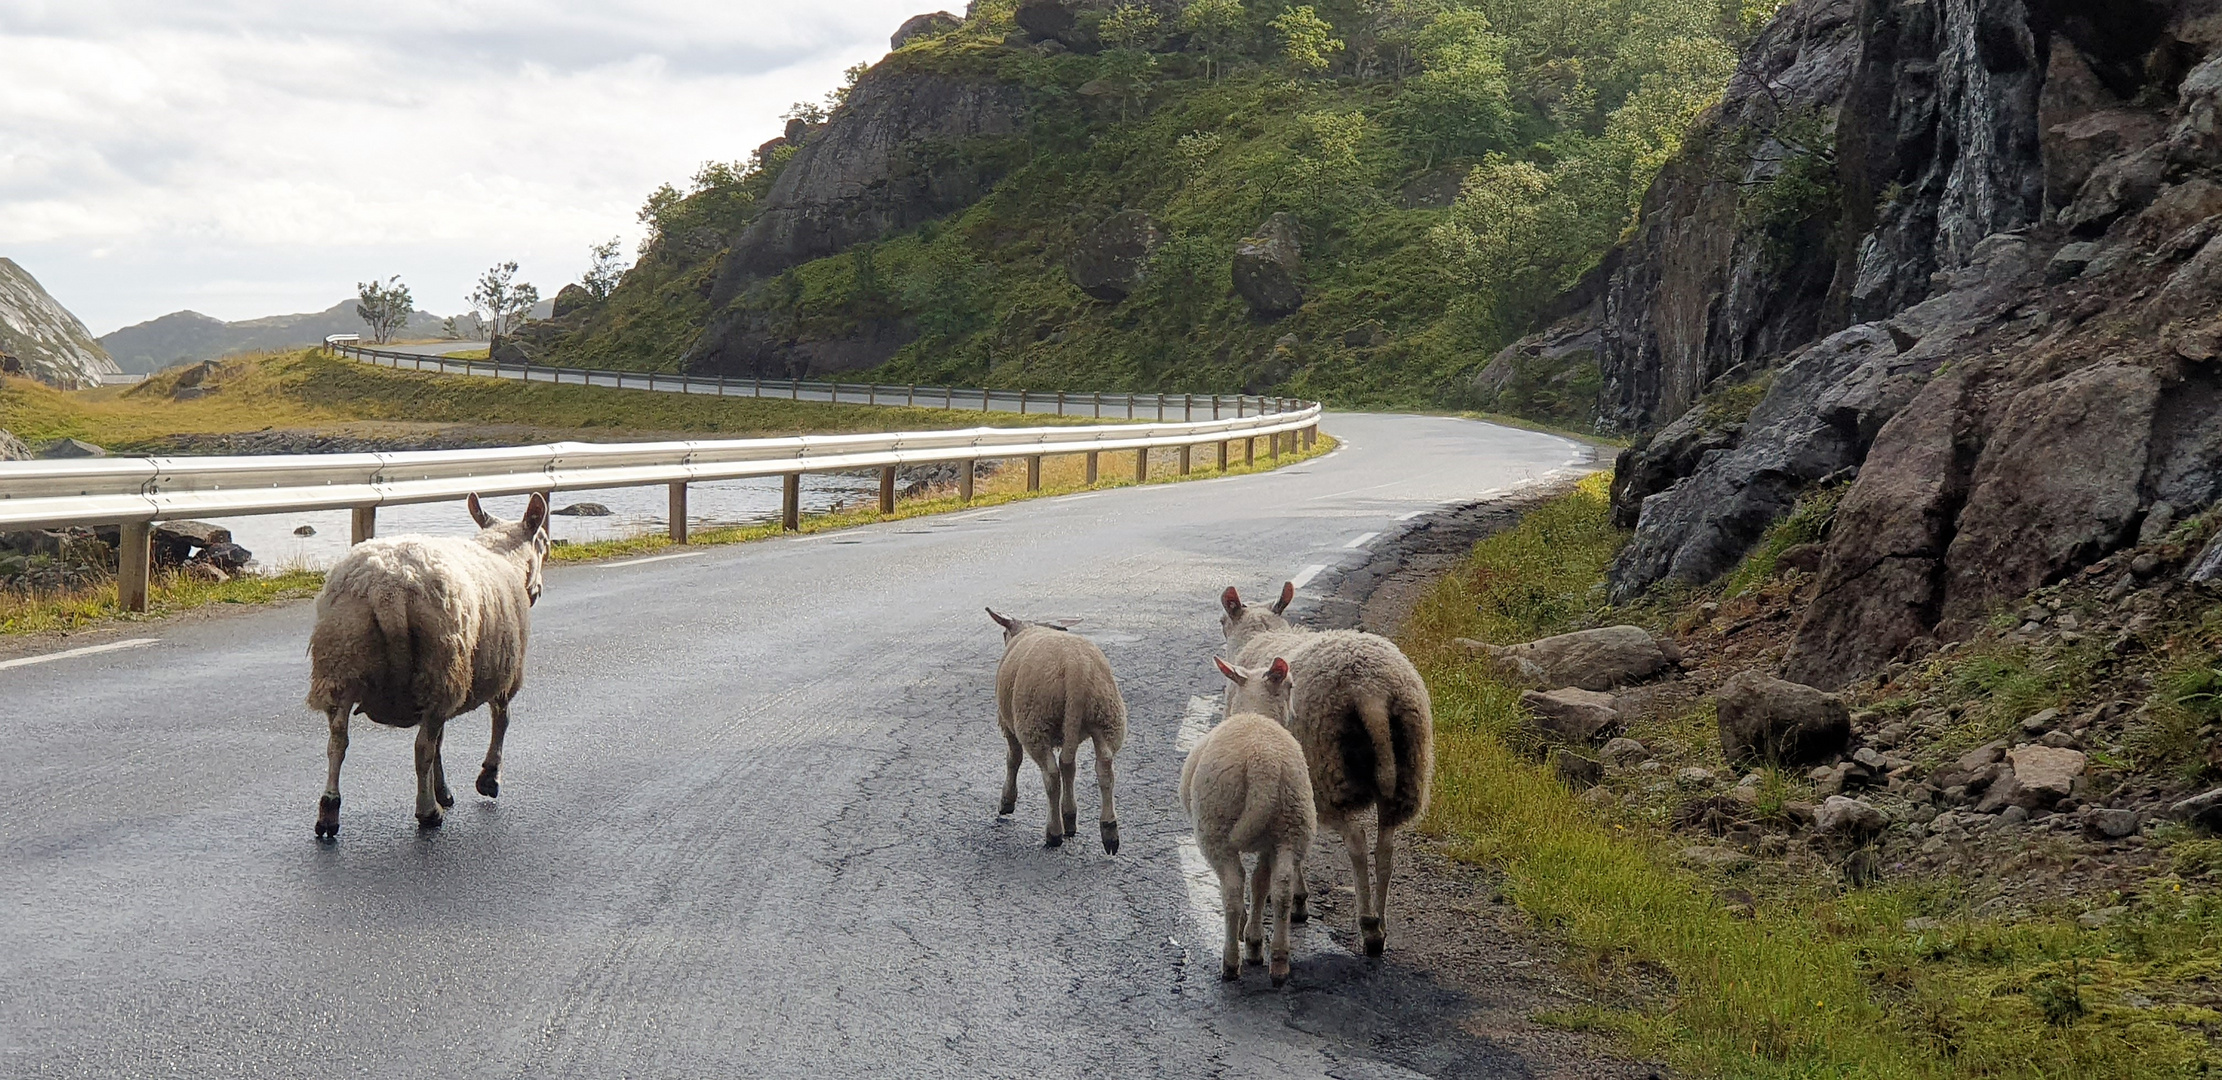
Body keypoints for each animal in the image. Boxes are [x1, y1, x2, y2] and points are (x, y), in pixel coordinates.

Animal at [306, 488, 553, 835]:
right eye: (544, 543)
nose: (539, 589)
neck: (502, 556)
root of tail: (387, 590)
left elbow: (442, 739)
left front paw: (444, 789)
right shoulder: (506, 672)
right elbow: (501, 719)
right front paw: (488, 779)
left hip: (343, 660)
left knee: (338, 741)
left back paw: (329, 811)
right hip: (439, 664)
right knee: (421, 746)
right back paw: (427, 812)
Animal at [991, 608, 1128, 853]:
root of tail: (1076, 668)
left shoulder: (1007, 724)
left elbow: (1013, 759)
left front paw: (1007, 802)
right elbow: (1070, 768)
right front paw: (1070, 814)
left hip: (1035, 722)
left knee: (1051, 774)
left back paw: (1054, 832)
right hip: (1107, 716)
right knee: (1102, 767)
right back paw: (1107, 829)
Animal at [1182, 653, 1315, 982]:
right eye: (1291, 687)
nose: (1294, 714)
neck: (1256, 713)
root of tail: (1262, 761)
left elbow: (1249, 885)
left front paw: (1247, 936)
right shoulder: (1270, 842)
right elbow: (1260, 883)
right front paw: (1255, 941)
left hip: (1216, 825)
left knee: (1231, 888)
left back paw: (1231, 962)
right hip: (1291, 823)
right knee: (1281, 887)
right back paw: (1278, 960)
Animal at [1226, 582, 1430, 955]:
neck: (1260, 636)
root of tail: (1370, 689)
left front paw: (1298, 899)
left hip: (1327, 771)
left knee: (1357, 841)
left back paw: (1368, 925)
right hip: (1408, 767)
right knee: (1386, 847)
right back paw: (1380, 926)